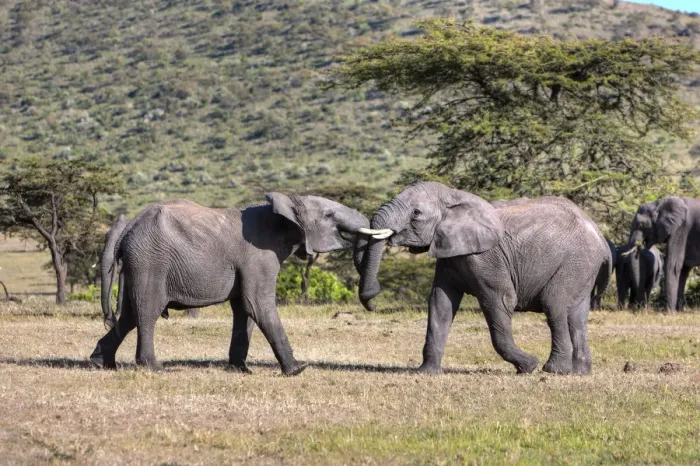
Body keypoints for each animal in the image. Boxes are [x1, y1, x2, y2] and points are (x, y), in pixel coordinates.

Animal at [90, 194, 370, 375]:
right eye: (328, 215)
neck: (282, 208)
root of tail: (129, 227)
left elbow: (244, 309)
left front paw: (241, 370)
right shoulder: (259, 256)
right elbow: (257, 303)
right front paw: (298, 369)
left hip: (140, 263)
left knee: (130, 315)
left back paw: (101, 363)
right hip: (150, 261)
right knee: (147, 311)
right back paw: (155, 369)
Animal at [356, 182, 611, 375]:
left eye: (416, 213)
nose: (372, 303)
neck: (454, 195)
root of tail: (600, 235)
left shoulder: (485, 258)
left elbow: (500, 301)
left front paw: (528, 366)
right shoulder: (450, 254)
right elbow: (440, 304)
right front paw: (426, 373)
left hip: (575, 261)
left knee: (554, 304)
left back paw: (553, 370)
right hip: (583, 267)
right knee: (577, 315)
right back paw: (579, 372)